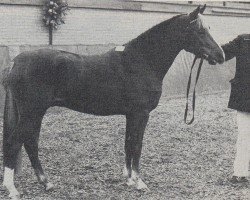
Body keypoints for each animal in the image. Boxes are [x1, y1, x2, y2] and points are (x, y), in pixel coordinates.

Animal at [1, 5, 225, 199]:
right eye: (199, 31)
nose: (220, 55)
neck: (142, 60)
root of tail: (15, 63)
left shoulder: (131, 115)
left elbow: (128, 144)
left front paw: (128, 179)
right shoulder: (141, 114)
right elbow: (137, 145)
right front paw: (139, 182)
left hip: (35, 114)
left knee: (30, 143)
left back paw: (46, 183)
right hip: (32, 113)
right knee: (14, 143)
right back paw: (12, 189)